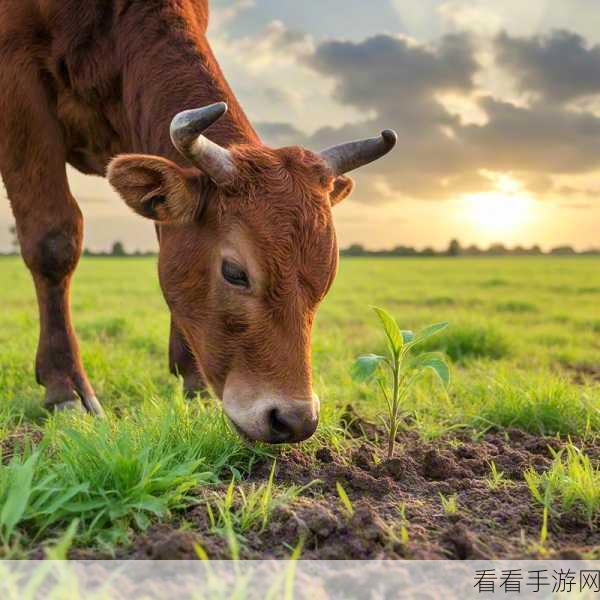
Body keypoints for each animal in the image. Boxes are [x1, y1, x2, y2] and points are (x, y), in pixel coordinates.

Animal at [1, 0, 398, 440]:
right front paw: (64, 386)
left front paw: (192, 379)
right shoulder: (19, 88)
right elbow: (53, 239)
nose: (295, 420)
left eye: (326, 277)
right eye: (234, 272)